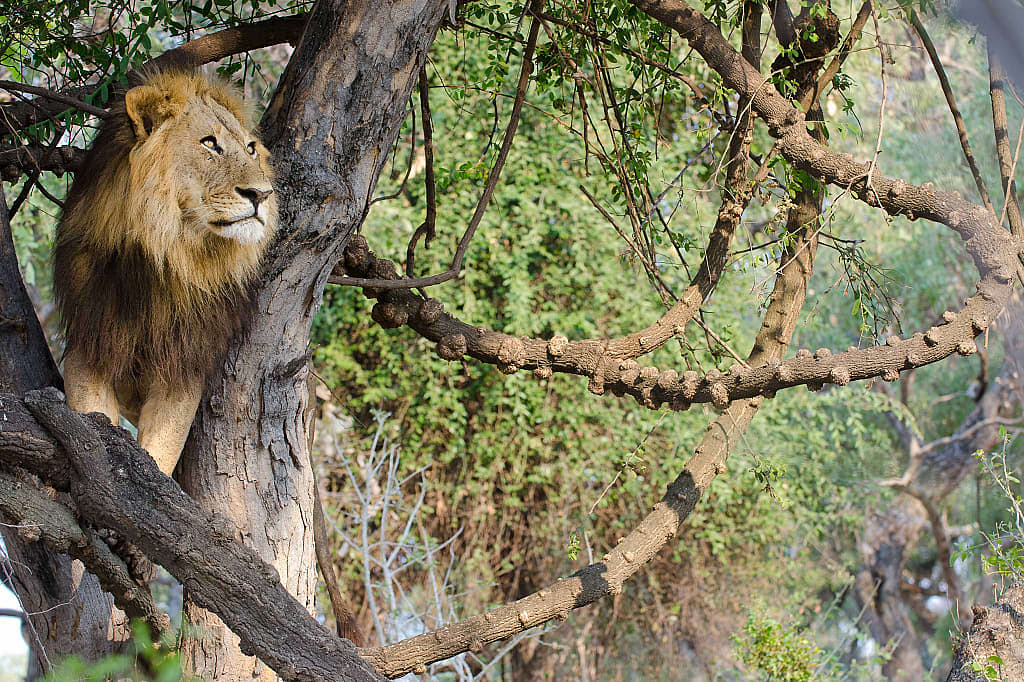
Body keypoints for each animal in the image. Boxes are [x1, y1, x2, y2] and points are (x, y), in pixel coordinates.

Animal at [54, 70, 277, 476]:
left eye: (251, 149)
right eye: (210, 144)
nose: (262, 194)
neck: (165, 259)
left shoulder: (184, 366)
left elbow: (160, 450)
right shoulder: (89, 339)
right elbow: (91, 415)